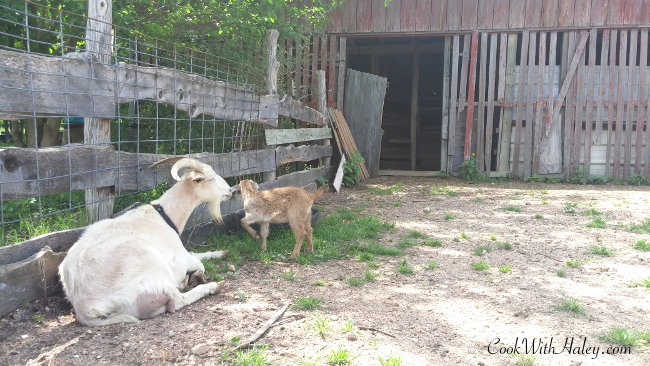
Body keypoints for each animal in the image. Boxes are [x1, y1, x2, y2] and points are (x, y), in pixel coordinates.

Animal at [58, 157, 233, 326]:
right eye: (210, 178)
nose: (231, 190)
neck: (164, 216)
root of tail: (85, 310)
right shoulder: (181, 258)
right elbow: (199, 263)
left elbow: (201, 254)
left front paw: (222, 252)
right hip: (150, 268)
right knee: (177, 300)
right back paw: (212, 286)